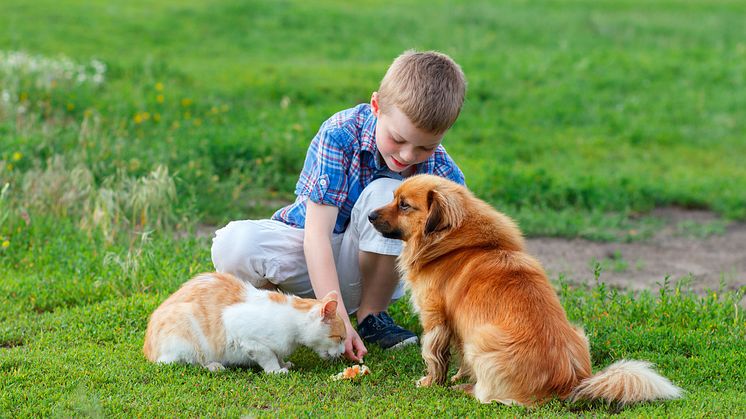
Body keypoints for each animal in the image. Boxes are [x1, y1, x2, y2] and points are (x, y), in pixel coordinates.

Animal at [142, 272, 346, 374]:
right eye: (340, 338)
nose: (344, 351)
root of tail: (148, 350)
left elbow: (277, 354)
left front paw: (283, 364)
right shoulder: (240, 330)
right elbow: (267, 355)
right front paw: (276, 370)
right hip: (186, 338)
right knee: (185, 362)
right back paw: (213, 366)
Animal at [366, 175, 680, 406]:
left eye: (404, 205)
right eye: (393, 198)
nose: (368, 215)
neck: (459, 244)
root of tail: (569, 382)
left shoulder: (435, 319)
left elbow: (434, 356)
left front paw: (432, 382)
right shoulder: (459, 326)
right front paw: (454, 376)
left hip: (481, 340)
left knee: (488, 396)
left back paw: (469, 389)